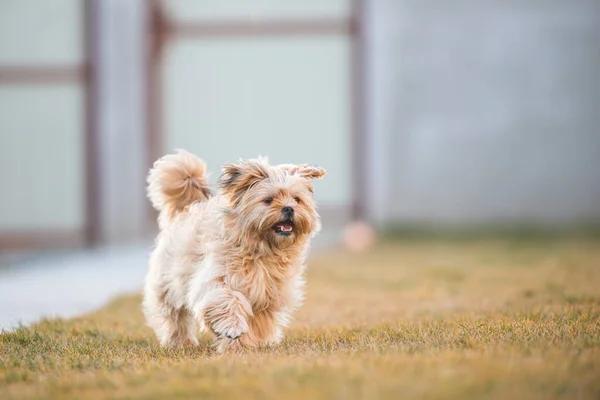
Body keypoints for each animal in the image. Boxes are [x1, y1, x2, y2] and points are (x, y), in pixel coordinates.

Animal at [143, 151, 326, 354]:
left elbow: (258, 323)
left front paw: (246, 345)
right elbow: (228, 300)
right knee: (175, 318)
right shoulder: (216, 279)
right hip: (168, 285)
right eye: (269, 200)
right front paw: (234, 330)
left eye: (296, 199)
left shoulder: (266, 296)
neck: (262, 249)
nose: (289, 208)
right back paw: (180, 343)